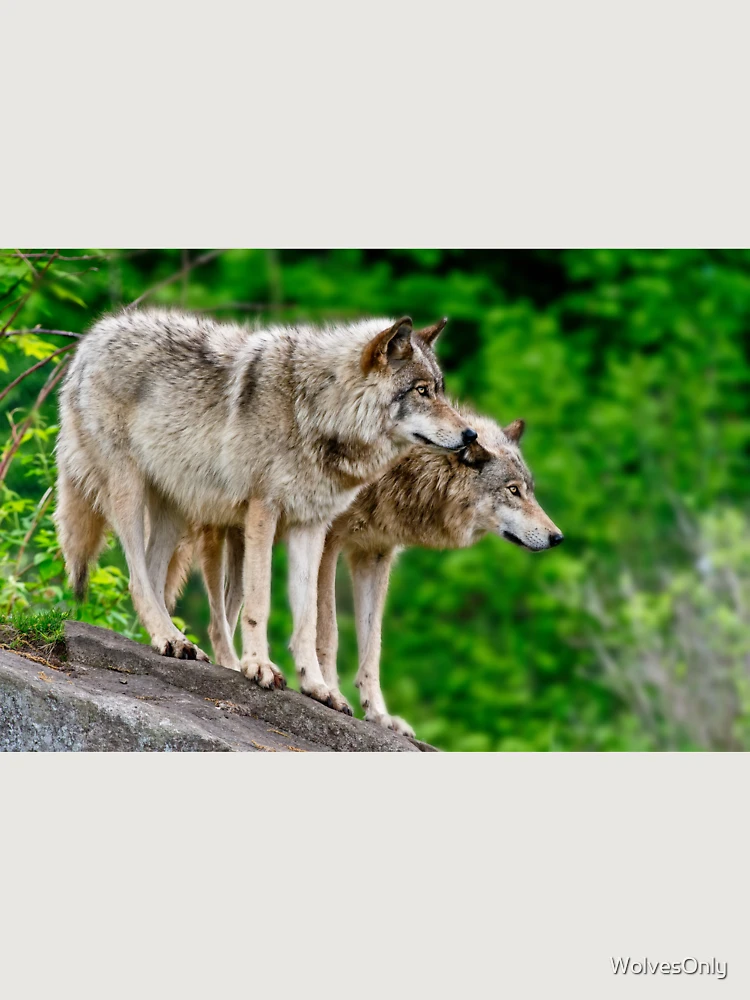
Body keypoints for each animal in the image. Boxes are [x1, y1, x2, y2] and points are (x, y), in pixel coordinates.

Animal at [55, 309, 475, 709]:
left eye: (439, 390)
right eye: (422, 391)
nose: (470, 435)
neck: (314, 409)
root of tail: (92, 338)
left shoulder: (311, 526)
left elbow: (307, 617)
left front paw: (318, 687)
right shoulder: (263, 511)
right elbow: (260, 600)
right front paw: (258, 666)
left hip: (174, 509)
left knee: (155, 578)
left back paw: (175, 641)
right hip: (129, 491)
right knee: (137, 578)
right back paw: (169, 639)